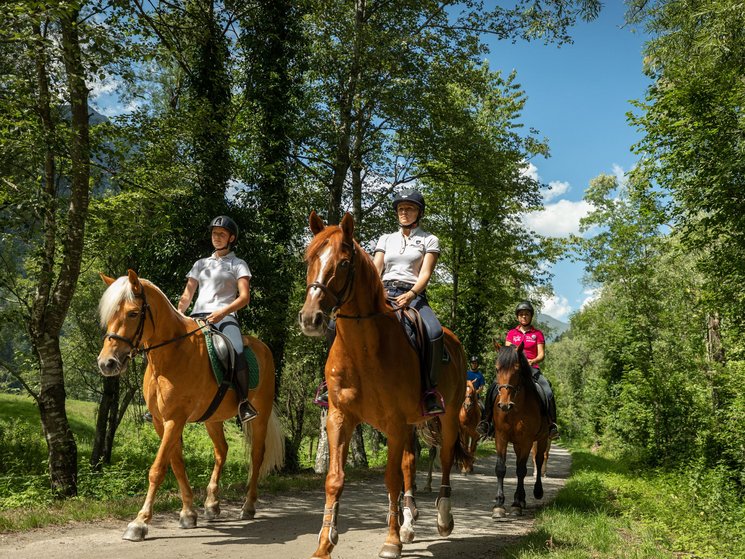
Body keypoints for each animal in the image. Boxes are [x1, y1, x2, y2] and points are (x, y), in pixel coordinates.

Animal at [97, 272, 284, 544]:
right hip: (213, 419)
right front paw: (188, 513)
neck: (170, 355)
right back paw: (212, 504)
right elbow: (176, 463)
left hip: (259, 415)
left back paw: (248, 506)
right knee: (222, 451)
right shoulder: (161, 421)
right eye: (109, 314)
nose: (106, 363)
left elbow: (158, 468)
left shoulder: (175, 419)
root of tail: (263, 347)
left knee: (256, 455)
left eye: (132, 313)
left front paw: (139, 523)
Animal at [298, 211, 468, 559]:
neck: (364, 349)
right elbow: (334, 479)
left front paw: (390, 542)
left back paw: (443, 519)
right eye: (309, 259)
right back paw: (408, 524)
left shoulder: (394, 421)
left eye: (344, 263)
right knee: (409, 465)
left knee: (444, 460)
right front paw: (324, 543)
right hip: (411, 425)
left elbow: (390, 480)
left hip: (445, 418)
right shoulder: (340, 417)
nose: (311, 318)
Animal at [492, 342, 548, 520]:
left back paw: (535, 492)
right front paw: (499, 505)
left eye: (517, 370)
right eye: (497, 369)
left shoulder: (527, 440)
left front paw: (516, 504)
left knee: (538, 460)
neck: (514, 410)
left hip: (543, 439)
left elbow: (521, 470)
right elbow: (501, 468)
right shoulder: (500, 437)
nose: (504, 405)